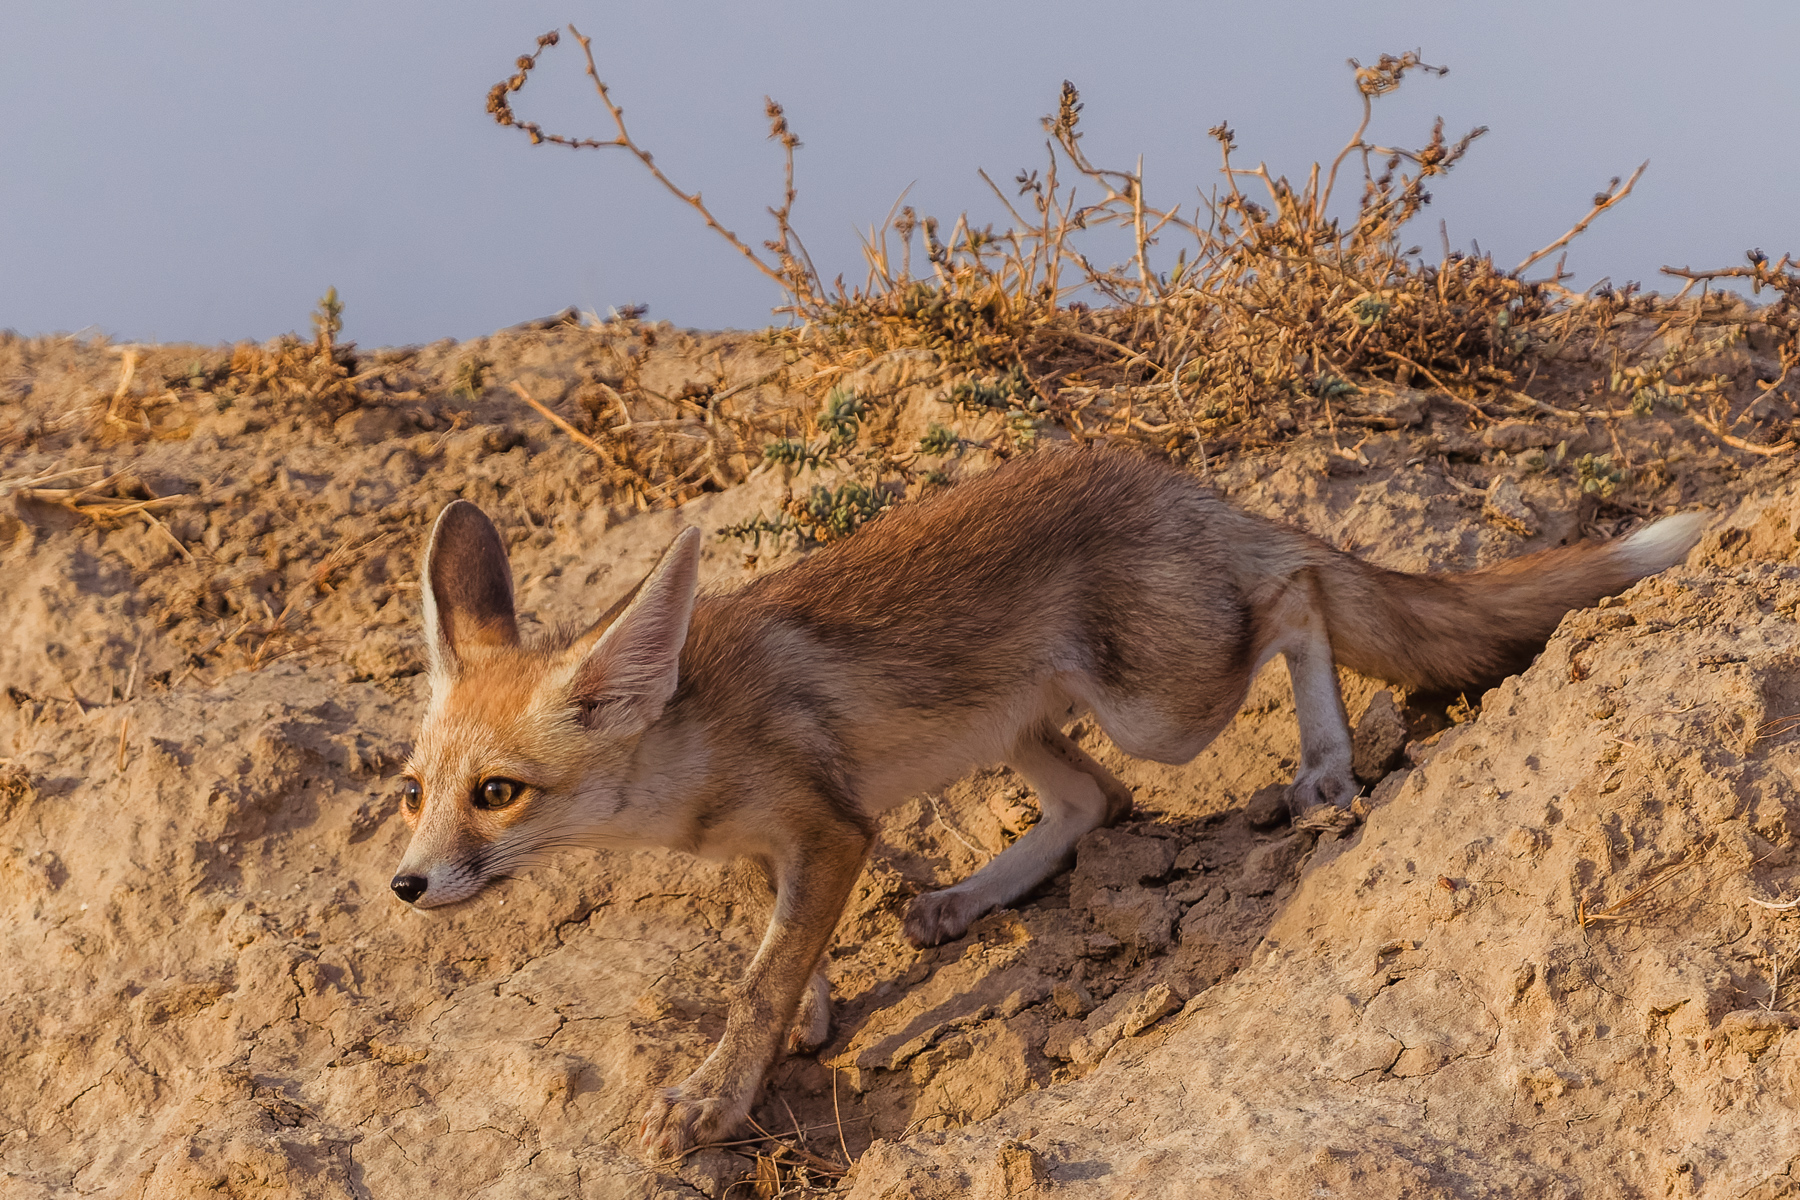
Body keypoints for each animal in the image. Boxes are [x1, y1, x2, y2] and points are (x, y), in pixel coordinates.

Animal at [388, 443, 1704, 1158]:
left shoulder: (832, 828)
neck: (697, 741)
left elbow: (758, 978)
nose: (405, 883)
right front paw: (808, 1015)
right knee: (1097, 805)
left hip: (1161, 704)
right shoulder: (785, 845)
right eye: (414, 792)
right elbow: (783, 955)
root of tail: (1167, 476)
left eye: (497, 794)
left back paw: (1327, 765)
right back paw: (965, 900)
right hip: (1027, 727)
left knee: (1297, 595)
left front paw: (717, 1093)